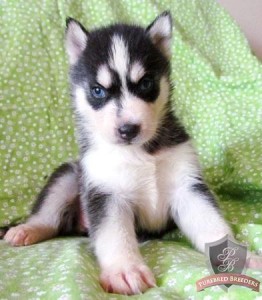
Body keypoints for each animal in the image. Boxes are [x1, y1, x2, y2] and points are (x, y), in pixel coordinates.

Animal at [4, 12, 235, 296]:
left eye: (146, 83)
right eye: (98, 90)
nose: (128, 129)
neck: (139, 153)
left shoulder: (187, 186)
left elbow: (211, 224)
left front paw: (239, 260)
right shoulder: (106, 193)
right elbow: (115, 235)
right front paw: (125, 270)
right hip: (70, 174)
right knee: (49, 218)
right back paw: (27, 229)